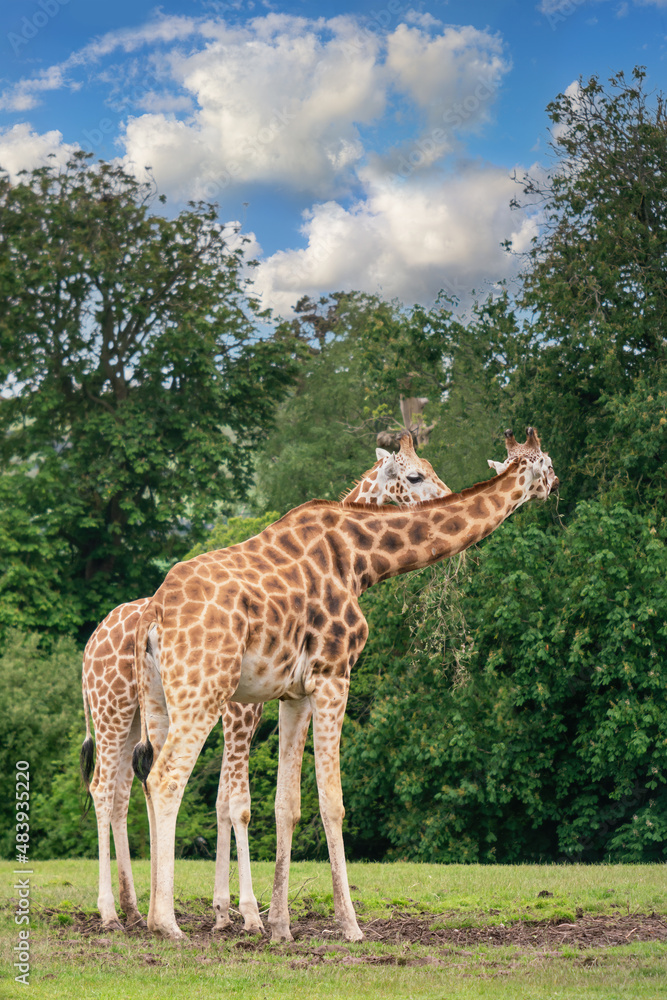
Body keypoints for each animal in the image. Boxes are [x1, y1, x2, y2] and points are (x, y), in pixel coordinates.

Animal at [81, 434, 452, 932]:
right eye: (415, 476)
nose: (446, 497)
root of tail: (91, 643)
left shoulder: (247, 708)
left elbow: (224, 800)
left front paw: (225, 911)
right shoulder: (242, 710)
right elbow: (237, 802)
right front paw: (247, 914)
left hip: (139, 715)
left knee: (125, 790)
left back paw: (135, 907)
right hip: (114, 709)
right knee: (106, 788)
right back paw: (110, 912)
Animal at [130, 426, 560, 940]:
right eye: (414, 476)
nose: (555, 485)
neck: (359, 559)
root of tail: (154, 613)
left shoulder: (295, 694)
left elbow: (287, 804)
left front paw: (280, 927)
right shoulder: (334, 675)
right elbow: (332, 802)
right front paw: (349, 924)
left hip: (162, 701)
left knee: (159, 783)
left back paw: (166, 915)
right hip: (205, 692)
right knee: (168, 780)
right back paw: (167, 923)